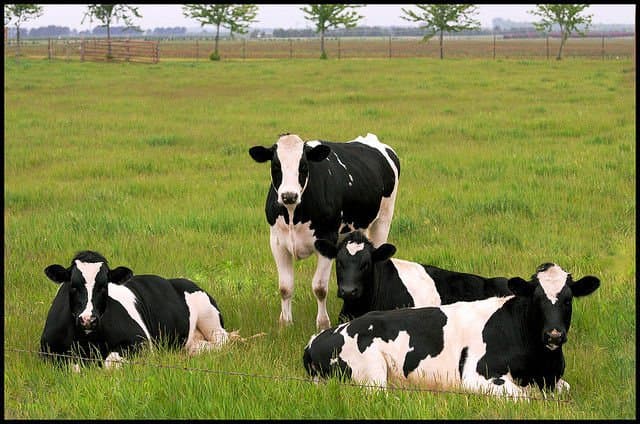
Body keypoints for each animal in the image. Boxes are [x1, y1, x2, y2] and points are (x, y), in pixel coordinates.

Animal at [40, 250, 229, 368]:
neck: (87, 342)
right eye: (73, 286)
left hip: (209, 316)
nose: (88, 320)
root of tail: (179, 280)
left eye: (104, 286)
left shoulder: (142, 342)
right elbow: (72, 366)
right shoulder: (47, 351)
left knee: (222, 338)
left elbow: (110, 362)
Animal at [249, 132, 400, 330]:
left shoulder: (328, 239)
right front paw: (285, 324)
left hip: (383, 220)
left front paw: (322, 324)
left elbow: (320, 287)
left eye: (303, 166)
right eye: (276, 166)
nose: (289, 195)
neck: (293, 214)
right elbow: (285, 287)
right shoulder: (277, 242)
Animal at [303, 263, 600, 398]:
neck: (540, 364)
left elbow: (564, 389)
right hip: (372, 374)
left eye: (568, 299)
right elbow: (525, 397)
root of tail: (315, 339)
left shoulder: (555, 380)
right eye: (537, 299)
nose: (554, 335)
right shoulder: (476, 376)